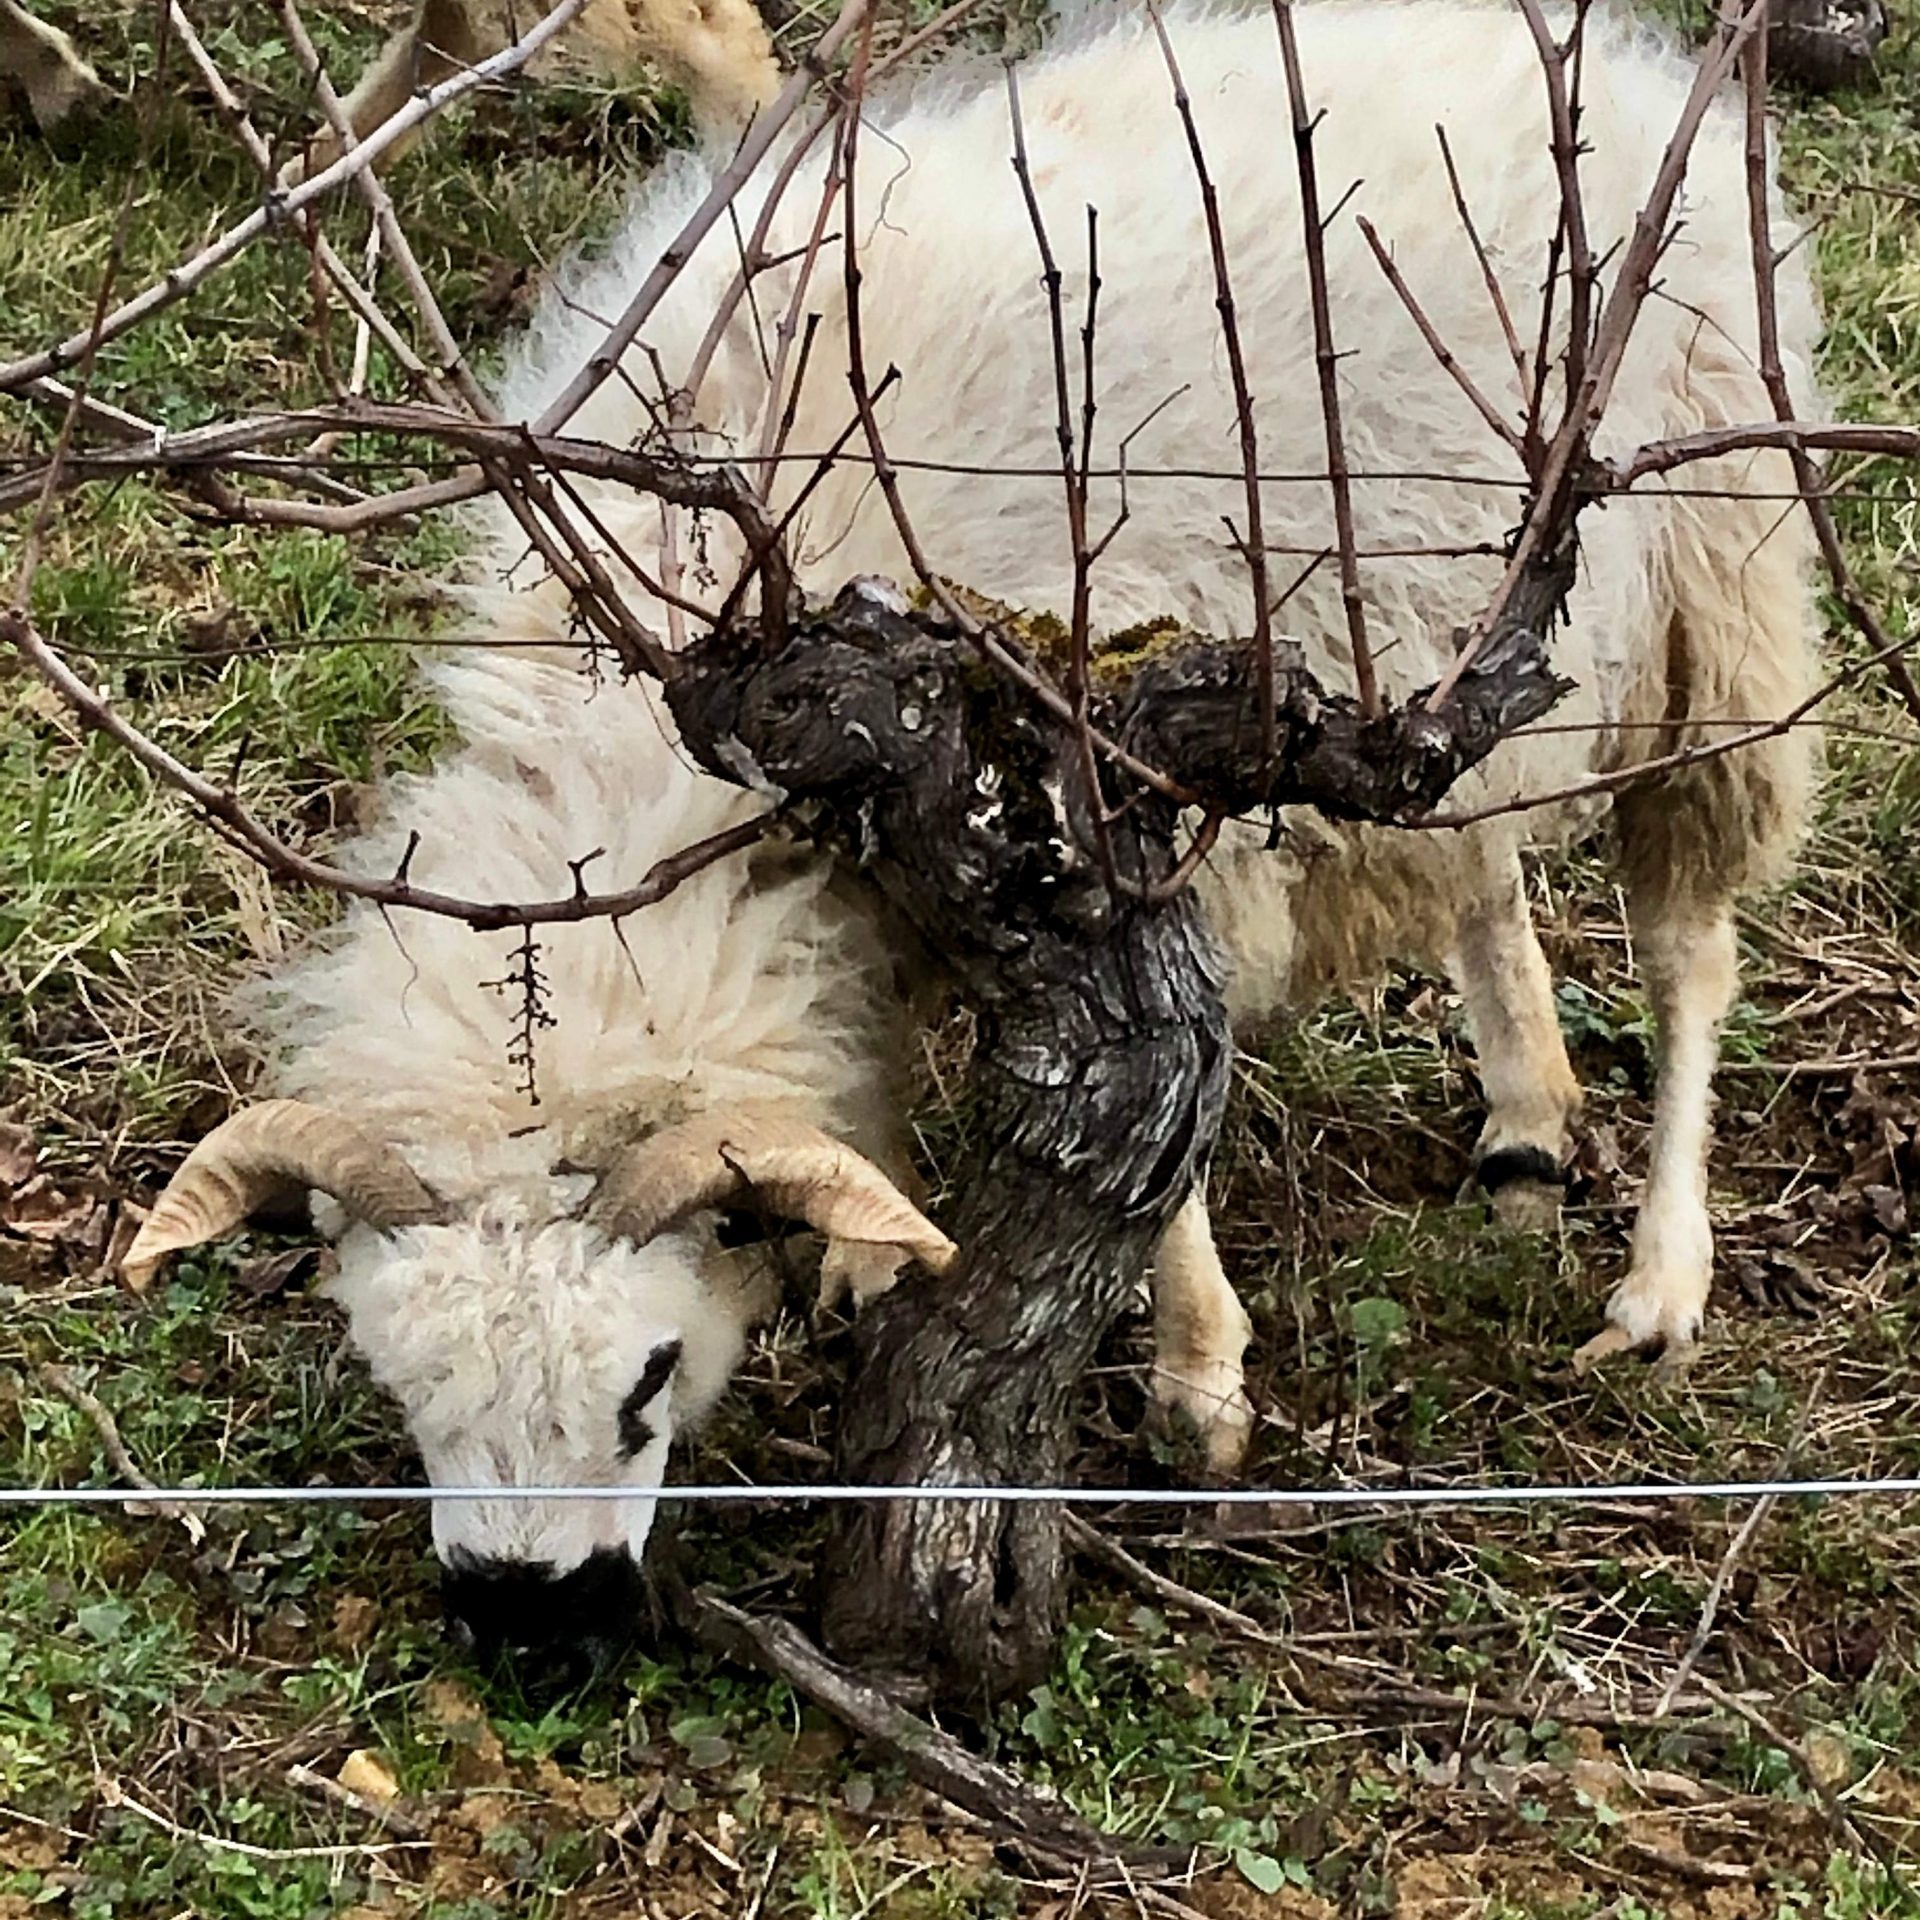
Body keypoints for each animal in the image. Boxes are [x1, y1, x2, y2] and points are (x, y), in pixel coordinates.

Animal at [126, 0, 1823, 1664]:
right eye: (400, 1383)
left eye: (650, 1377)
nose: (530, 1630)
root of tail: (1616, 63)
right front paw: (868, 1243)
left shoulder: (1115, 797)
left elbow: (1165, 1120)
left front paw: (1198, 1382)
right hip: (1452, 680)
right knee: (1479, 855)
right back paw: (1529, 1112)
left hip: (1709, 586)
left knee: (1687, 951)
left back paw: (1662, 1279)